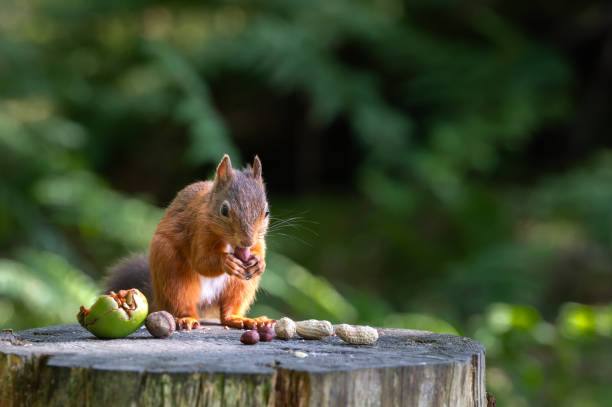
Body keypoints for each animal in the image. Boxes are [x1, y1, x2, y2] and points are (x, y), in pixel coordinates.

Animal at [105, 156, 272, 332]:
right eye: (224, 210)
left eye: (266, 212)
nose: (247, 241)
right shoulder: (198, 228)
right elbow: (201, 262)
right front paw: (226, 261)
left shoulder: (259, 241)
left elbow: (258, 251)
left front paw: (259, 263)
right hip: (172, 271)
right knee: (180, 301)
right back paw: (187, 319)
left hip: (241, 284)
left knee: (229, 310)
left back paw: (243, 319)